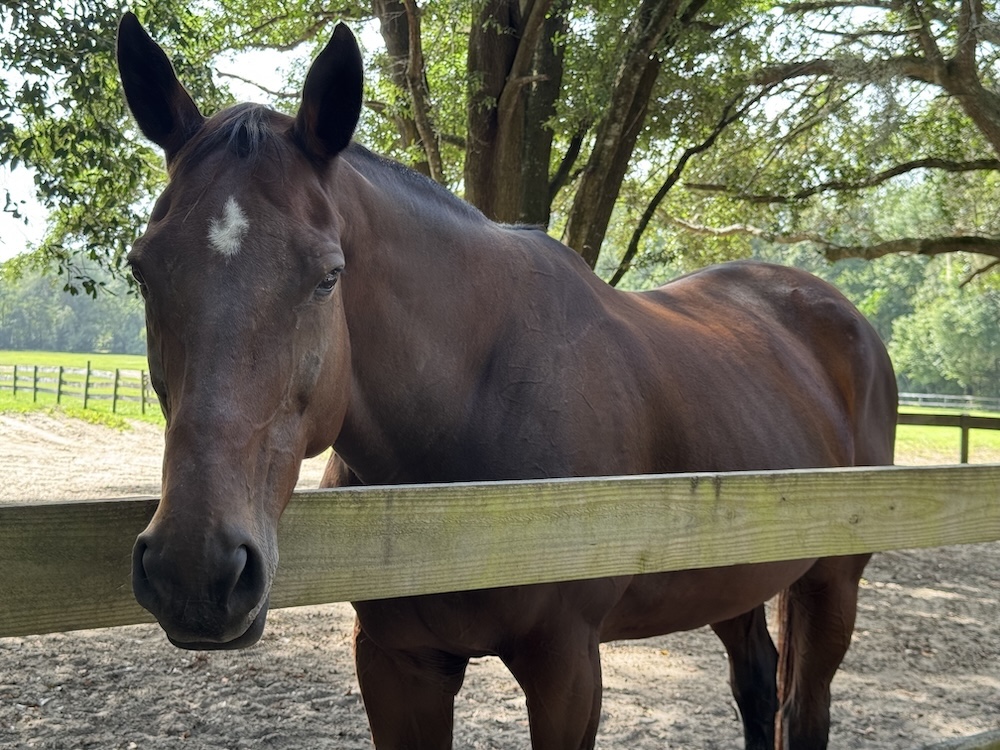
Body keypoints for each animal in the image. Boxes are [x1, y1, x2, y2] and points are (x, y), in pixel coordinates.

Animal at [116, 13, 897, 749]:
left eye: (327, 276)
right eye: (143, 269)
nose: (196, 572)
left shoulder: (568, 668)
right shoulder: (399, 664)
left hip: (832, 584)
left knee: (803, 711)